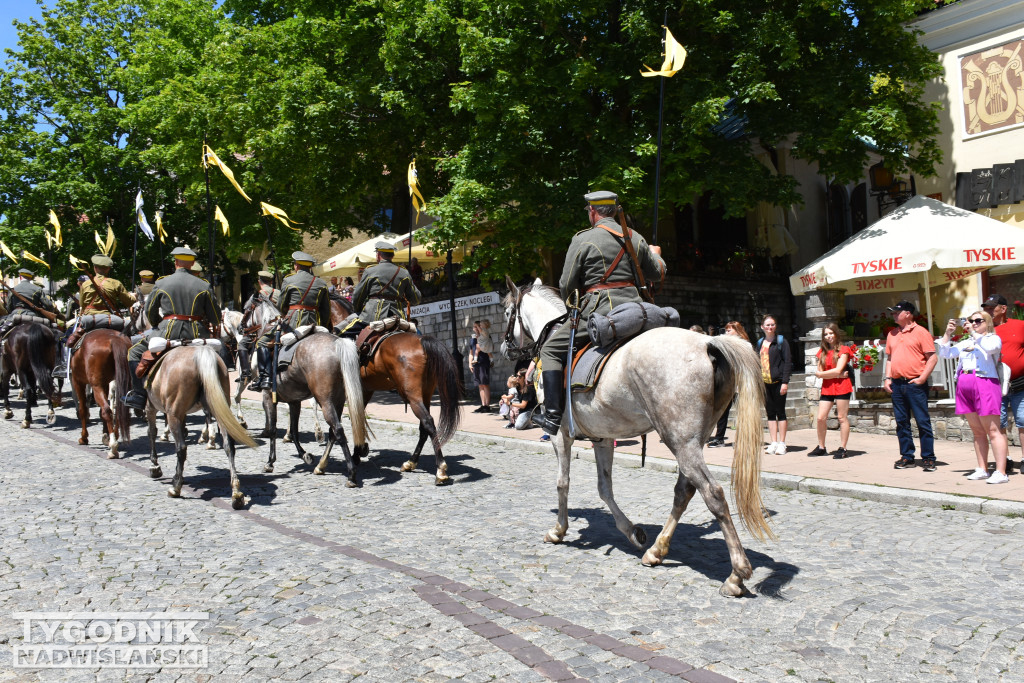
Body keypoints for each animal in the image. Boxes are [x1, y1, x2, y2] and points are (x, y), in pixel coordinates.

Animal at [69, 327, 132, 456]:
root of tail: (114, 339)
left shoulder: (78, 381)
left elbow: (83, 410)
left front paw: (84, 438)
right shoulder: (105, 383)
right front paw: (105, 435)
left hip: (96, 386)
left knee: (106, 410)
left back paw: (113, 447)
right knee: (118, 409)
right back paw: (114, 436)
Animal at [503, 278, 774, 598]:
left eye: (507, 311)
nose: (504, 348)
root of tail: (706, 342)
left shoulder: (560, 436)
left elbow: (563, 483)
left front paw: (559, 530)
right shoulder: (602, 439)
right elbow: (604, 488)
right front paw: (632, 531)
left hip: (681, 442)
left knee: (714, 494)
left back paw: (736, 575)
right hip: (690, 442)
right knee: (684, 491)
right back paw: (656, 550)